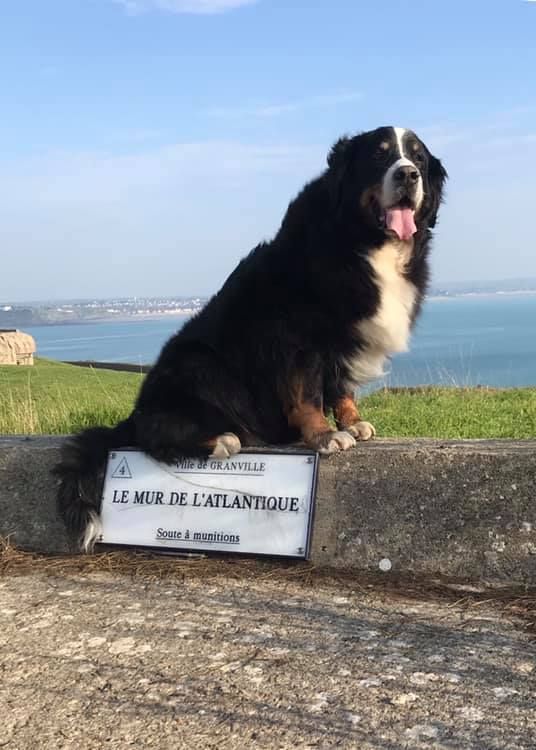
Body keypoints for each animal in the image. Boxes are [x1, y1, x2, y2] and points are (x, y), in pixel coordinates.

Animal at [55, 125, 448, 552]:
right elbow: (306, 392)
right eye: (379, 155)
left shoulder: (343, 341)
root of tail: (137, 410)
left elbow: (341, 386)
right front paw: (325, 435)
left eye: (418, 157)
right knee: (154, 435)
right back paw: (223, 439)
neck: (363, 240)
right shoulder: (297, 334)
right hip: (197, 363)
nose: (407, 175)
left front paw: (353, 422)